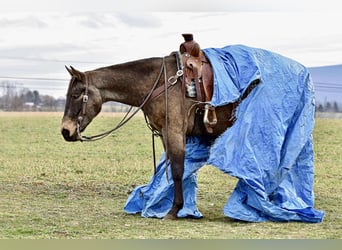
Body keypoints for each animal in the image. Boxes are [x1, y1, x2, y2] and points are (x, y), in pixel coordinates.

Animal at [60, 34, 238, 219]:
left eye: (75, 94)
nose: (65, 131)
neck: (161, 83)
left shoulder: (174, 131)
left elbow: (177, 169)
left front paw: (174, 209)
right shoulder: (164, 134)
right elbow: (170, 167)